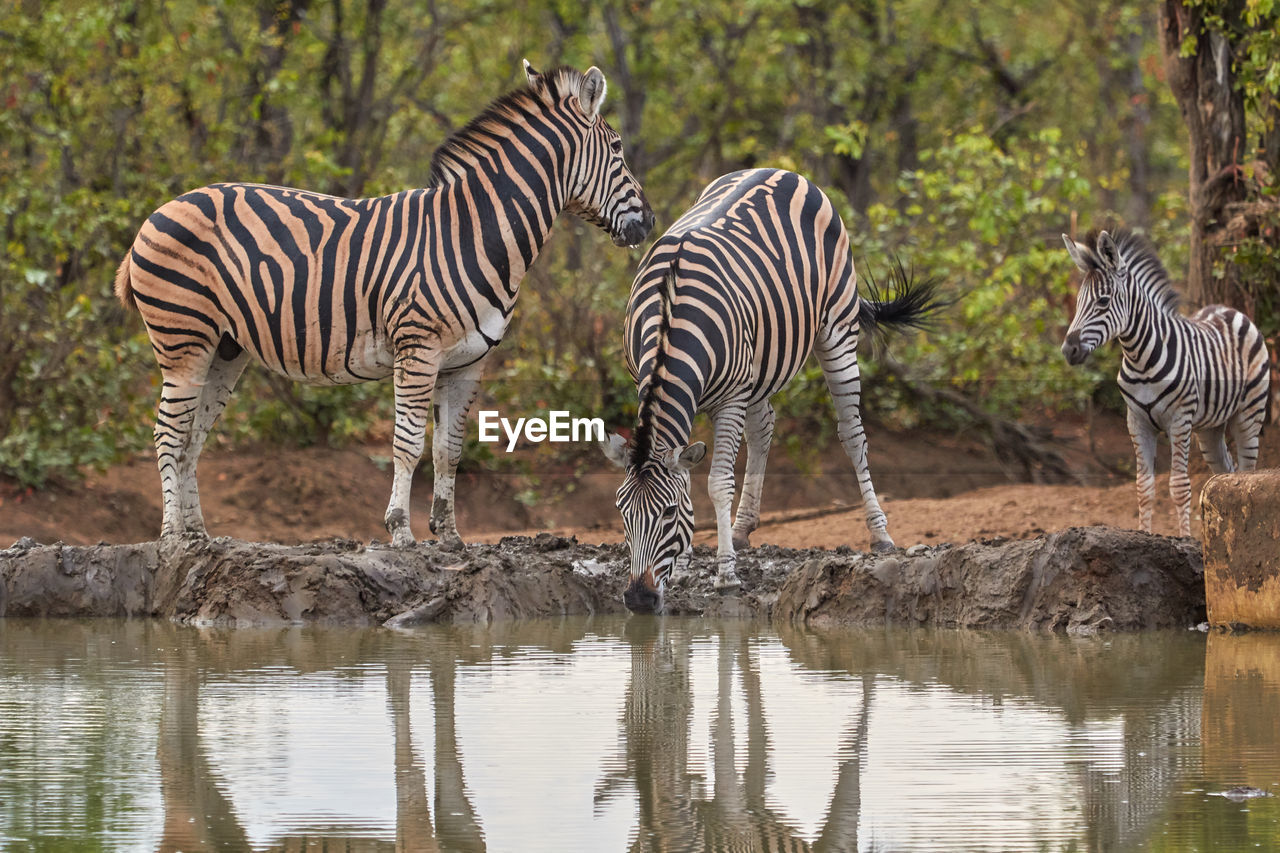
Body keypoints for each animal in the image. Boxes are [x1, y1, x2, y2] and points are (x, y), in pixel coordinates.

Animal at [115, 63, 655, 548]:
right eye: (617, 148)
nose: (649, 222)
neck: (474, 233)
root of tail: (161, 209)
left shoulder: (468, 363)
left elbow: (449, 450)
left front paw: (449, 535)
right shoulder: (418, 349)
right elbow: (409, 443)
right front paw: (400, 530)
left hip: (225, 349)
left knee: (192, 437)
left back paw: (198, 535)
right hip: (183, 339)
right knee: (168, 433)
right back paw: (170, 537)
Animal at [599, 166, 942, 612]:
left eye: (670, 514)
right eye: (622, 514)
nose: (639, 600)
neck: (670, 318)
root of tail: (781, 171)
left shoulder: (730, 397)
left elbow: (716, 482)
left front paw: (726, 575)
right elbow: (689, 472)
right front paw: (688, 563)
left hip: (836, 330)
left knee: (852, 435)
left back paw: (880, 535)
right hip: (761, 365)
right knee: (763, 430)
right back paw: (742, 529)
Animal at [1059, 225, 1269, 532]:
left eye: (1103, 301)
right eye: (1077, 303)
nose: (1068, 350)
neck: (1140, 359)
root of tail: (1229, 309)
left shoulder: (1179, 420)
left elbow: (1179, 487)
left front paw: (1184, 538)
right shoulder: (1137, 422)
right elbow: (1143, 488)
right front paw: (1144, 535)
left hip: (1249, 415)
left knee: (1246, 474)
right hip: (1210, 429)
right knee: (1226, 474)